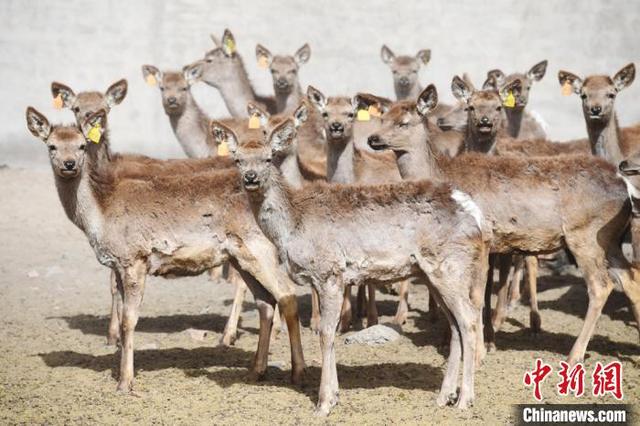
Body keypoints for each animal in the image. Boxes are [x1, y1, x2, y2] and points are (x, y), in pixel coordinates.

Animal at [24, 107, 304, 392]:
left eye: (82, 145)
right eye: (52, 146)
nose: (69, 164)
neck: (101, 216)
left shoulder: (135, 258)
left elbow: (130, 320)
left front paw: (125, 382)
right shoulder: (118, 263)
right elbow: (121, 315)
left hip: (261, 247)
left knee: (286, 294)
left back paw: (297, 373)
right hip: (240, 256)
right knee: (265, 301)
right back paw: (256, 371)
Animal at [212, 115, 488, 414]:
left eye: (268, 158)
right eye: (237, 159)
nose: (251, 178)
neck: (292, 225)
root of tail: (474, 212)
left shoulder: (329, 271)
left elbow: (325, 333)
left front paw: (323, 403)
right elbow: (329, 333)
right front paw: (333, 395)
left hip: (449, 266)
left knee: (469, 319)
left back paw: (464, 399)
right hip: (431, 273)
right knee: (455, 325)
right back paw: (444, 396)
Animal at [362, 81, 640, 362]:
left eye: (404, 123)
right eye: (383, 118)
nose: (372, 139)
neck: (443, 174)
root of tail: (625, 188)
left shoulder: (481, 238)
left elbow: (476, 295)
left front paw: (477, 352)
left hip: (585, 234)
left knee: (601, 285)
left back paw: (574, 355)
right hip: (609, 240)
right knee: (631, 279)